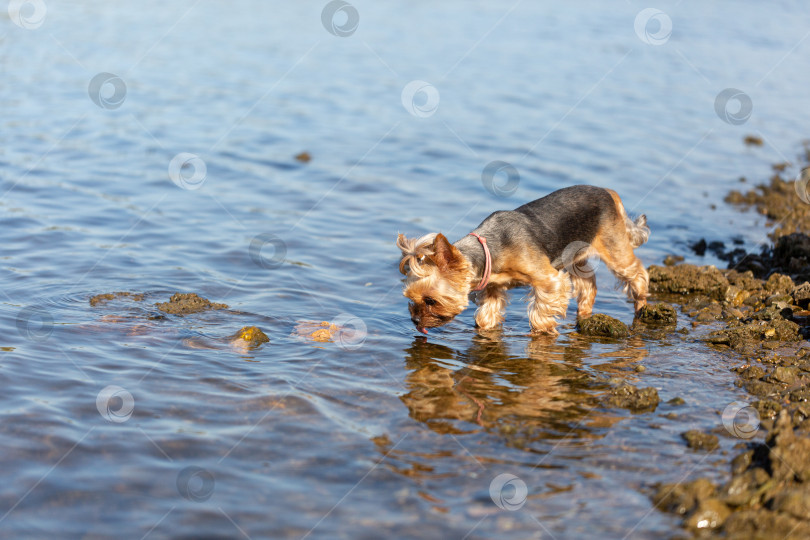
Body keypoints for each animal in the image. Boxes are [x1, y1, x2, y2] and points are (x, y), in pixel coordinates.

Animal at [394, 186, 648, 334]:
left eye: (430, 300)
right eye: (410, 299)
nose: (414, 321)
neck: (491, 250)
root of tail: (609, 192)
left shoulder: (549, 280)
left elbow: (541, 312)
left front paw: (541, 330)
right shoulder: (493, 287)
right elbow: (486, 316)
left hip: (614, 248)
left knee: (637, 274)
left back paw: (641, 308)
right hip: (575, 255)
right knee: (588, 285)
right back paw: (583, 314)